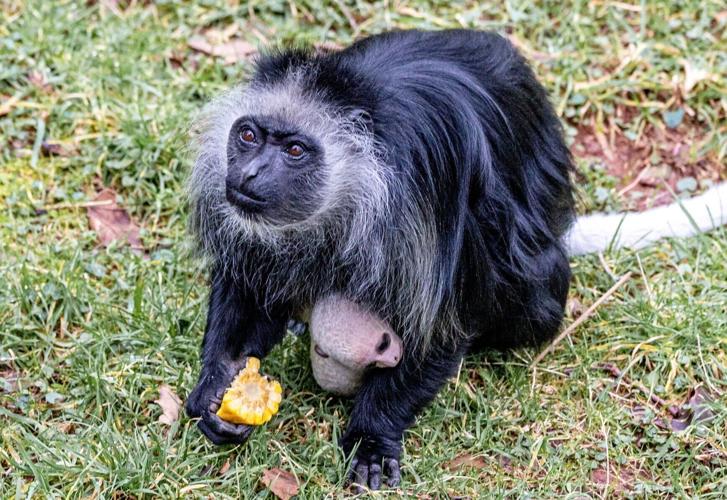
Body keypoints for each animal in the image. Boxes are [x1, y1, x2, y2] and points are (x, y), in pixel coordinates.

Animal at [185, 29, 727, 490]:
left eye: (295, 150)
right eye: (249, 137)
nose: (250, 174)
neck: (357, 178)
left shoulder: (420, 201)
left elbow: (445, 326)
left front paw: (371, 438)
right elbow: (250, 283)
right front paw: (217, 387)